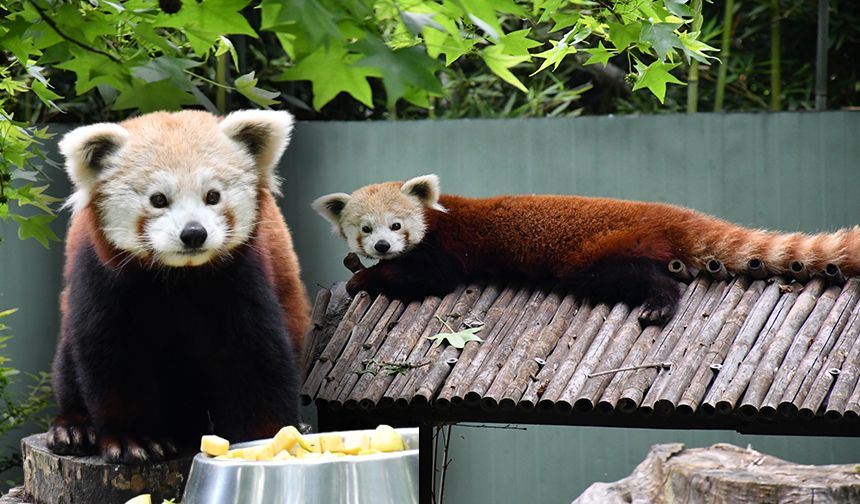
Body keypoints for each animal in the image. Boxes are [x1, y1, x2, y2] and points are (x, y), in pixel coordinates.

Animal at [48, 110, 310, 464]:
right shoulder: (102, 279)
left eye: (213, 196)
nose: (194, 233)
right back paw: (74, 427)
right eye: (158, 199)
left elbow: (256, 361)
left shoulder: (241, 279)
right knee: (67, 362)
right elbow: (114, 357)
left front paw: (268, 438)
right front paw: (135, 439)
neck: (178, 276)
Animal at [314, 173, 860, 322]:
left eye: (397, 225)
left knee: (627, 277)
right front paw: (357, 263)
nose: (382, 245)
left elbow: (427, 279)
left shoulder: (445, 248)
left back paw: (659, 303)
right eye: (365, 228)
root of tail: (664, 212)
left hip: (598, 252)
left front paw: (363, 278)